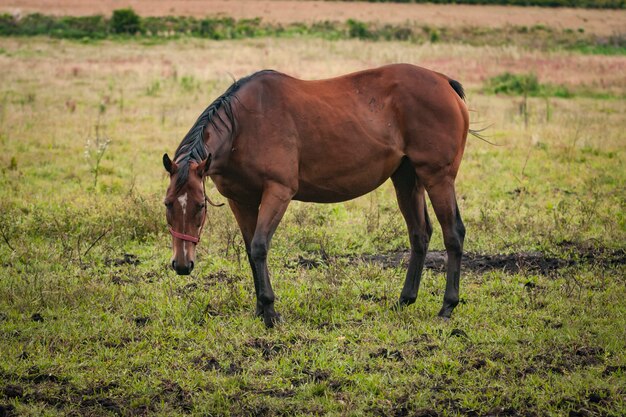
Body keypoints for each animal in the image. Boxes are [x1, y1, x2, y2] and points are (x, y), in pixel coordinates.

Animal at [165, 64, 468, 324]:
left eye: (200, 206)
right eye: (168, 204)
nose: (182, 265)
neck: (243, 126)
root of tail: (444, 82)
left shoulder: (278, 192)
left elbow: (260, 246)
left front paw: (270, 312)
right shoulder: (241, 201)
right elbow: (251, 251)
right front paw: (260, 309)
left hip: (437, 177)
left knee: (453, 234)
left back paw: (447, 306)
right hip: (407, 179)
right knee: (419, 235)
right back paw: (405, 300)